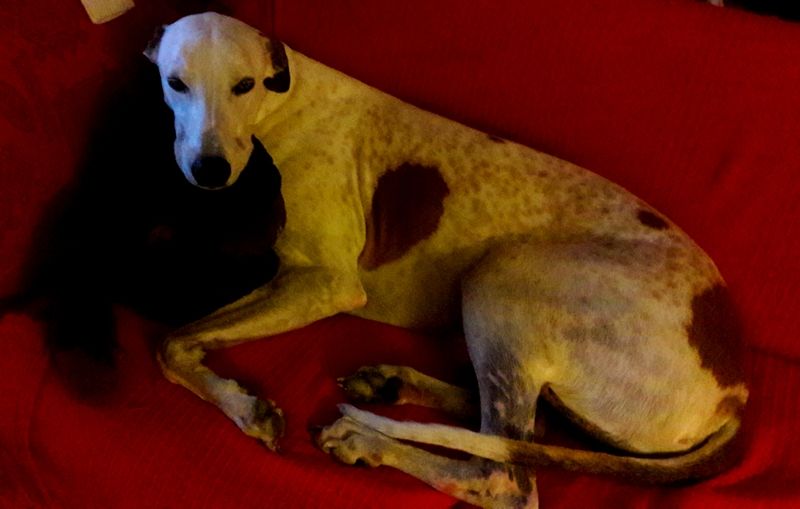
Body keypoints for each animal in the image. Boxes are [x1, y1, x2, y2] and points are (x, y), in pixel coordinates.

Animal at [146, 12, 748, 508]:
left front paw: (247, 408)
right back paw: (391, 385)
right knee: (526, 433)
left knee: (505, 475)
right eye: (176, 83)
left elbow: (170, 344)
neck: (280, 104)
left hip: (501, 278)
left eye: (243, 85)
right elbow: (178, 341)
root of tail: (734, 389)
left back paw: (365, 436)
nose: (209, 171)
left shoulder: (325, 283)